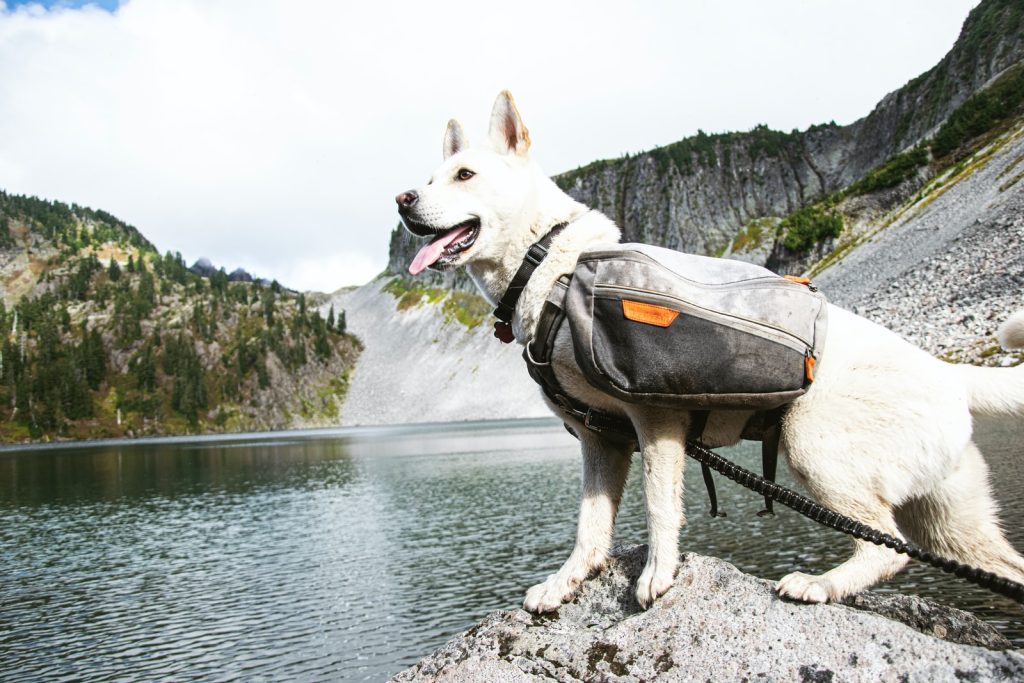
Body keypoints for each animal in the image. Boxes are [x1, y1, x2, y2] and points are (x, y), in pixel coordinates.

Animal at [395, 92, 1024, 614]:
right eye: (429, 178)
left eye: (465, 175)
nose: (402, 200)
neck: (550, 264)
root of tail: (950, 373)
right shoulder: (600, 441)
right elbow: (590, 528)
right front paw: (564, 584)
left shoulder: (656, 422)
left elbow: (659, 507)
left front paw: (657, 576)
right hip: (950, 522)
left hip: (813, 447)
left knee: (888, 550)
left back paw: (818, 585)